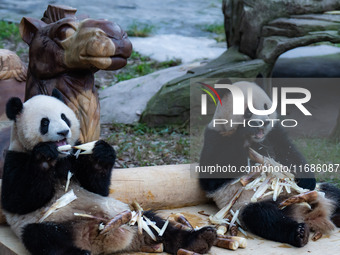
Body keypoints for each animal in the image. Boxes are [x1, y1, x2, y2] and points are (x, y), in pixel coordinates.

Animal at [1, 90, 215, 255]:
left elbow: (97, 187)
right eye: (44, 122)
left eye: (64, 117)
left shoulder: (76, 156)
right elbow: (18, 199)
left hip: (125, 213)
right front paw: (45, 155)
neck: (62, 157)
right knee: (43, 237)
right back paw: (79, 253)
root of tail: (102, 239)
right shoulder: (15, 158)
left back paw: (199, 239)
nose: (63, 132)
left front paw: (101, 153)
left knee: (155, 223)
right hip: (55, 223)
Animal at [199, 81, 340, 247]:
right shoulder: (216, 138)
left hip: (318, 192)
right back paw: (299, 233)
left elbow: (289, 152)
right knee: (264, 217)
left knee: (334, 192)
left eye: (266, 107)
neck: (253, 139)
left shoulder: (274, 133)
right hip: (246, 206)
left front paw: (306, 180)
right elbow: (212, 176)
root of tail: (306, 214)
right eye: (248, 112)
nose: (264, 121)